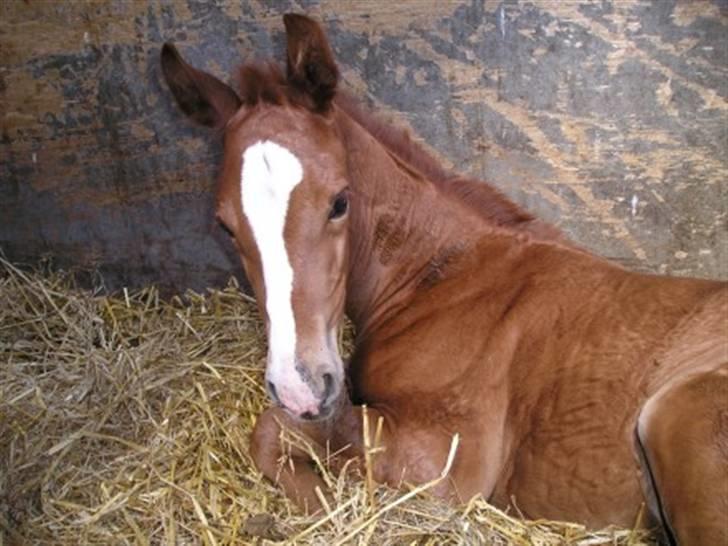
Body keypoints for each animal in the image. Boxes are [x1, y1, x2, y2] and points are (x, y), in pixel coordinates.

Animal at [164, 13, 728, 544]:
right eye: (224, 225)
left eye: (340, 202)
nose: (299, 387)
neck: (440, 276)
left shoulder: (447, 459)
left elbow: (275, 434)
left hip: (673, 416)